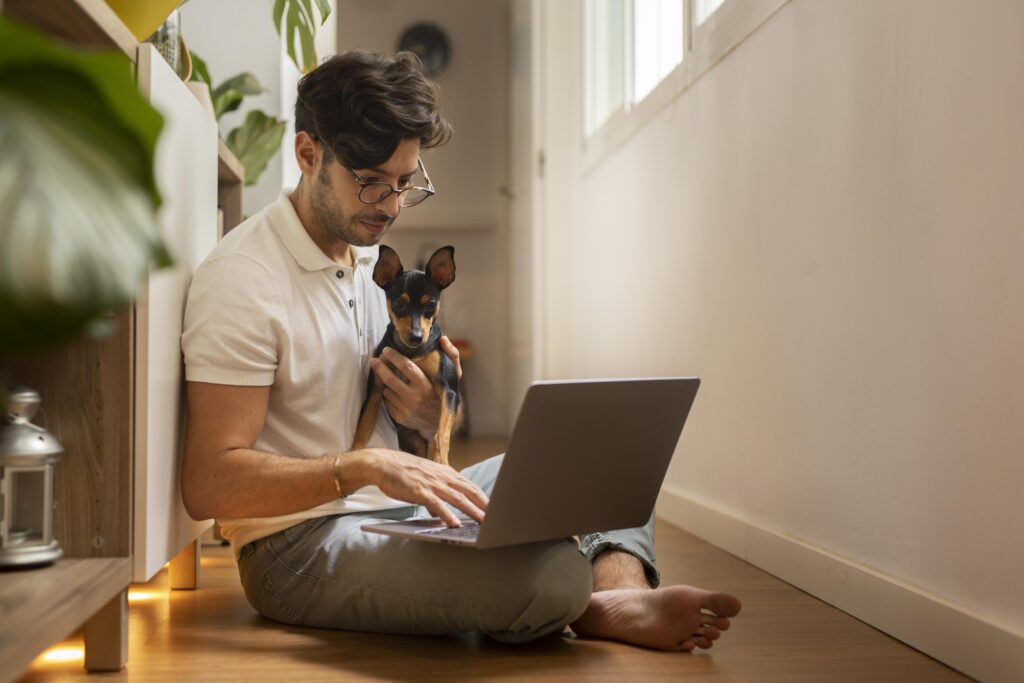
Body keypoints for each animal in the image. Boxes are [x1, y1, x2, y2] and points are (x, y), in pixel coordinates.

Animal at [354, 242, 462, 466]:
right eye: (398, 304)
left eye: (431, 305)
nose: (416, 337)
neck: (410, 353)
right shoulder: (375, 391)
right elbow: (362, 429)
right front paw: (354, 453)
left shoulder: (449, 390)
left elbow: (440, 434)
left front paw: (441, 462)